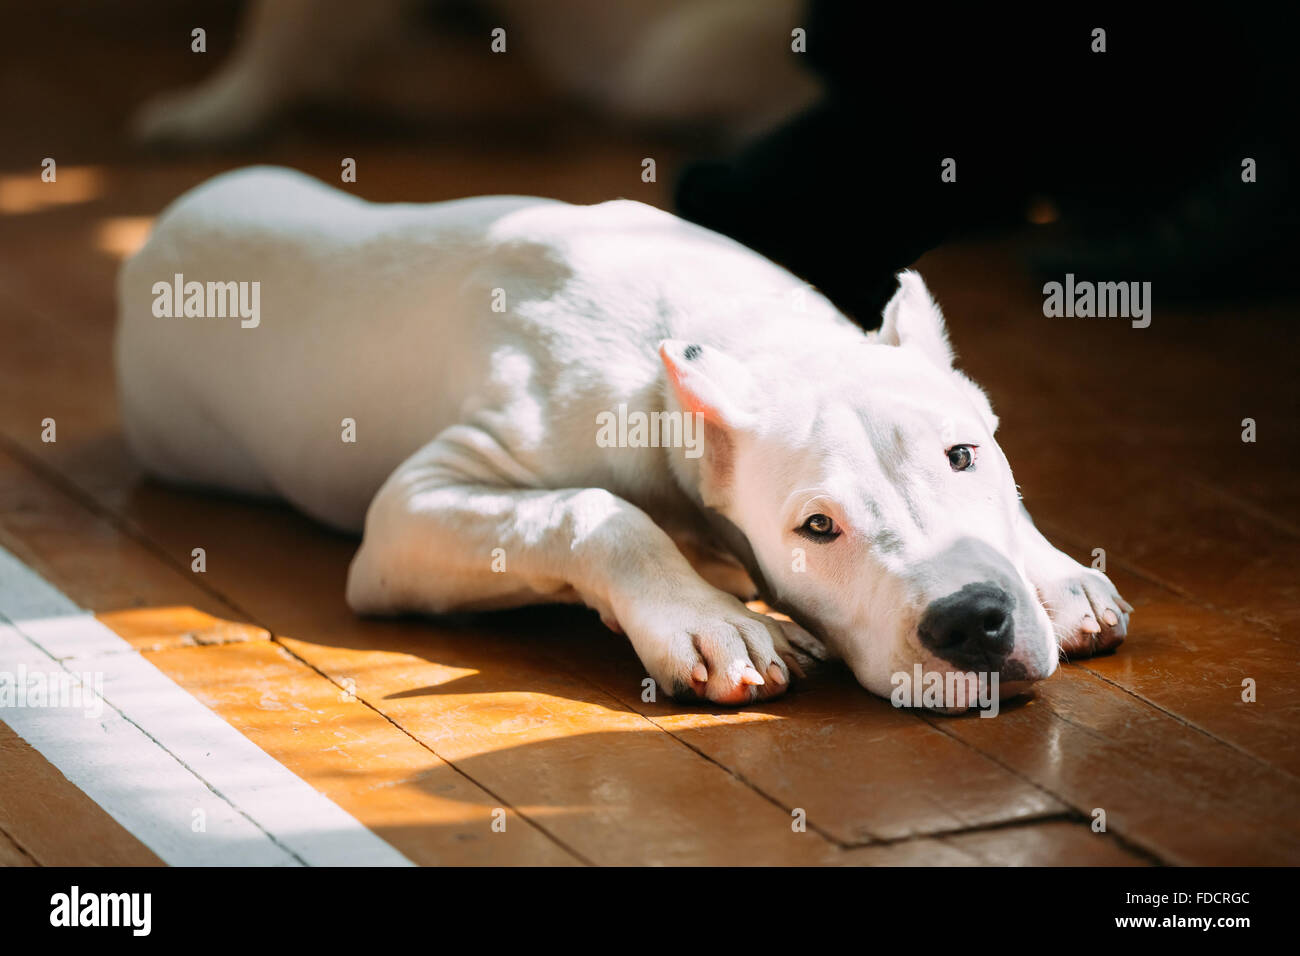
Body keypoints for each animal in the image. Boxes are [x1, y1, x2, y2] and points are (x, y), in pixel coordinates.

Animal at [114, 167, 1128, 712]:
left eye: (966, 456)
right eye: (818, 528)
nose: (972, 622)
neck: (738, 342)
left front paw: (1056, 572)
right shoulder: (411, 510)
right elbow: (594, 512)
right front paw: (712, 621)